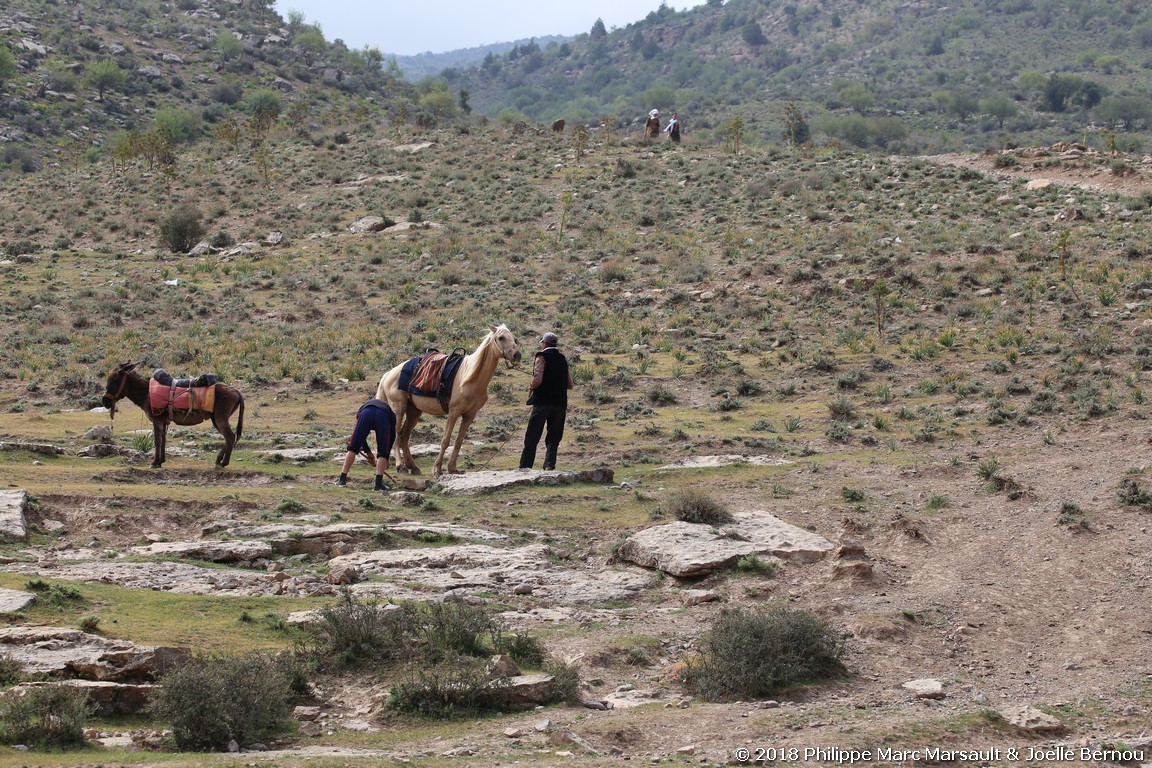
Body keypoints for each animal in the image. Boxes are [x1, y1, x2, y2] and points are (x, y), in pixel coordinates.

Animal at [100, 363, 245, 472]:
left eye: (114, 380)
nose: (104, 402)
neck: (146, 392)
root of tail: (236, 391)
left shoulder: (157, 420)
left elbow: (157, 441)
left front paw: (154, 462)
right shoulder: (164, 422)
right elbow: (163, 440)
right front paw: (161, 461)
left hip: (220, 418)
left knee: (230, 437)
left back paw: (223, 462)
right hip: (216, 419)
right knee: (228, 438)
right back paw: (219, 460)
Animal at [377, 322, 523, 474]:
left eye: (514, 338)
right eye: (501, 338)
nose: (516, 355)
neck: (469, 378)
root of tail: (388, 374)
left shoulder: (470, 415)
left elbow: (458, 441)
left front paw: (452, 468)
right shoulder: (454, 412)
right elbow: (445, 440)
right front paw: (437, 469)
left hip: (413, 412)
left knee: (404, 437)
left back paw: (413, 466)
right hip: (398, 410)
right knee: (396, 436)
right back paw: (401, 466)